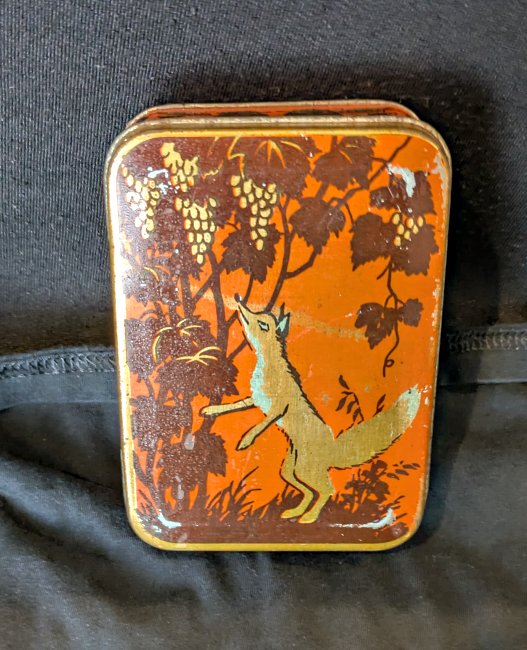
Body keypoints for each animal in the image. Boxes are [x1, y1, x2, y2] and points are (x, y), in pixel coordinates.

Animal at [201, 295, 421, 524]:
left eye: (263, 324)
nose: (240, 303)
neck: (267, 367)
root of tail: (332, 446)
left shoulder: (278, 407)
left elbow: (261, 424)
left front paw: (246, 440)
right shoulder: (255, 400)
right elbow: (233, 406)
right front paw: (211, 409)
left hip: (305, 469)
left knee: (326, 490)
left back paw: (309, 517)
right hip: (290, 470)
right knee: (308, 491)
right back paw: (295, 513)